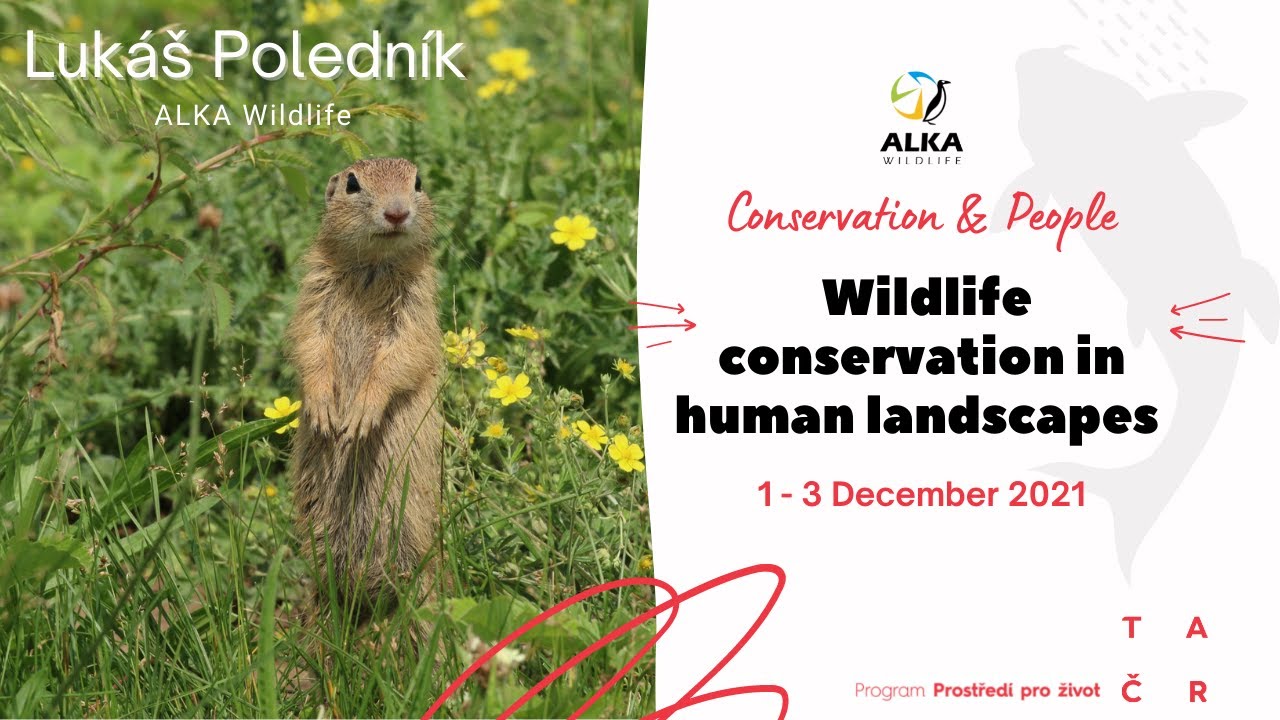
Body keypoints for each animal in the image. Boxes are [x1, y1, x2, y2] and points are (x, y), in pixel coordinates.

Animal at [286, 157, 444, 623]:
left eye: (418, 181)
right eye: (352, 184)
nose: (396, 213)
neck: (374, 266)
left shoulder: (416, 309)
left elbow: (400, 357)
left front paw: (359, 416)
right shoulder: (314, 296)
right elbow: (310, 345)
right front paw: (325, 411)